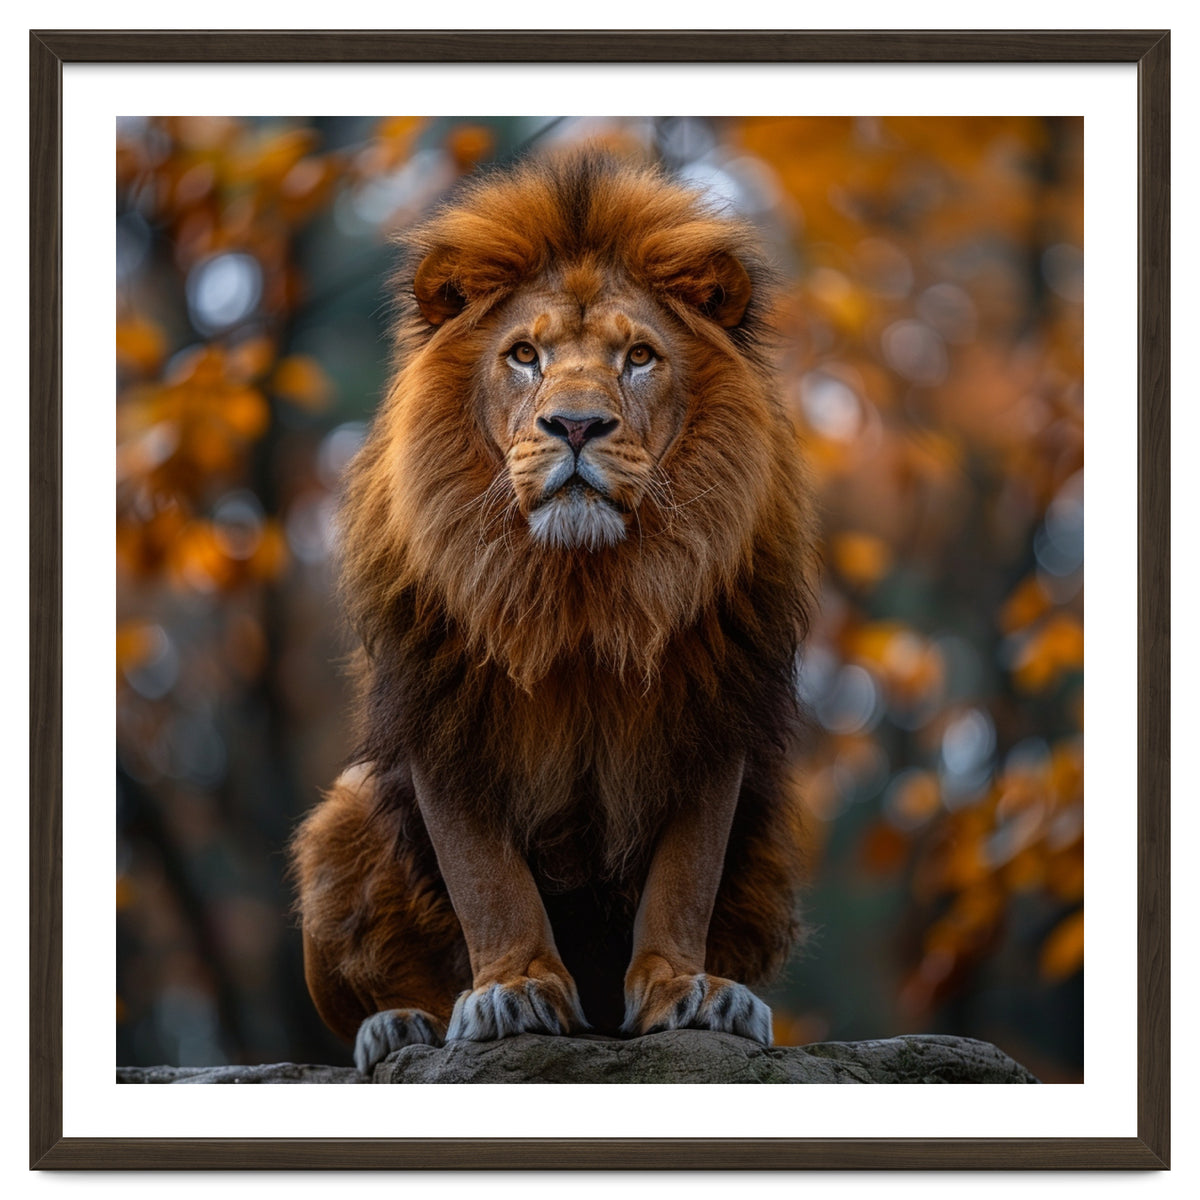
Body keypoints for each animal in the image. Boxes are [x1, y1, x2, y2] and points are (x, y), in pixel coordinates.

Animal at [289, 148, 819, 1074]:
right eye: (525, 354)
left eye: (639, 356)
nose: (575, 425)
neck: (580, 592)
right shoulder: (442, 710)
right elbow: (485, 878)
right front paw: (513, 990)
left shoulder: (714, 710)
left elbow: (686, 875)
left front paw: (687, 990)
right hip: (338, 817)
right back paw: (400, 1024)